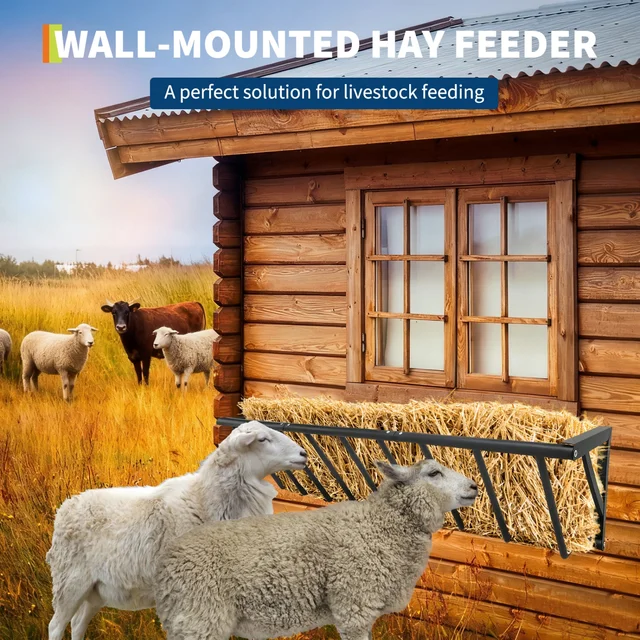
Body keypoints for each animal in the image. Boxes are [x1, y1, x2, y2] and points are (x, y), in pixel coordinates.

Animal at [46, 420, 308, 640]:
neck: (204, 500)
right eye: (262, 439)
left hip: (95, 589)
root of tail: (65, 507)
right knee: (56, 626)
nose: (303, 454)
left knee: (78, 623)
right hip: (70, 582)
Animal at [154, 458, 478, 640]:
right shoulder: (353, 606)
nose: (474, 486)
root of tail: (167, 564)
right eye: (434, 473)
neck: (379, 525)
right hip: (200, 617)